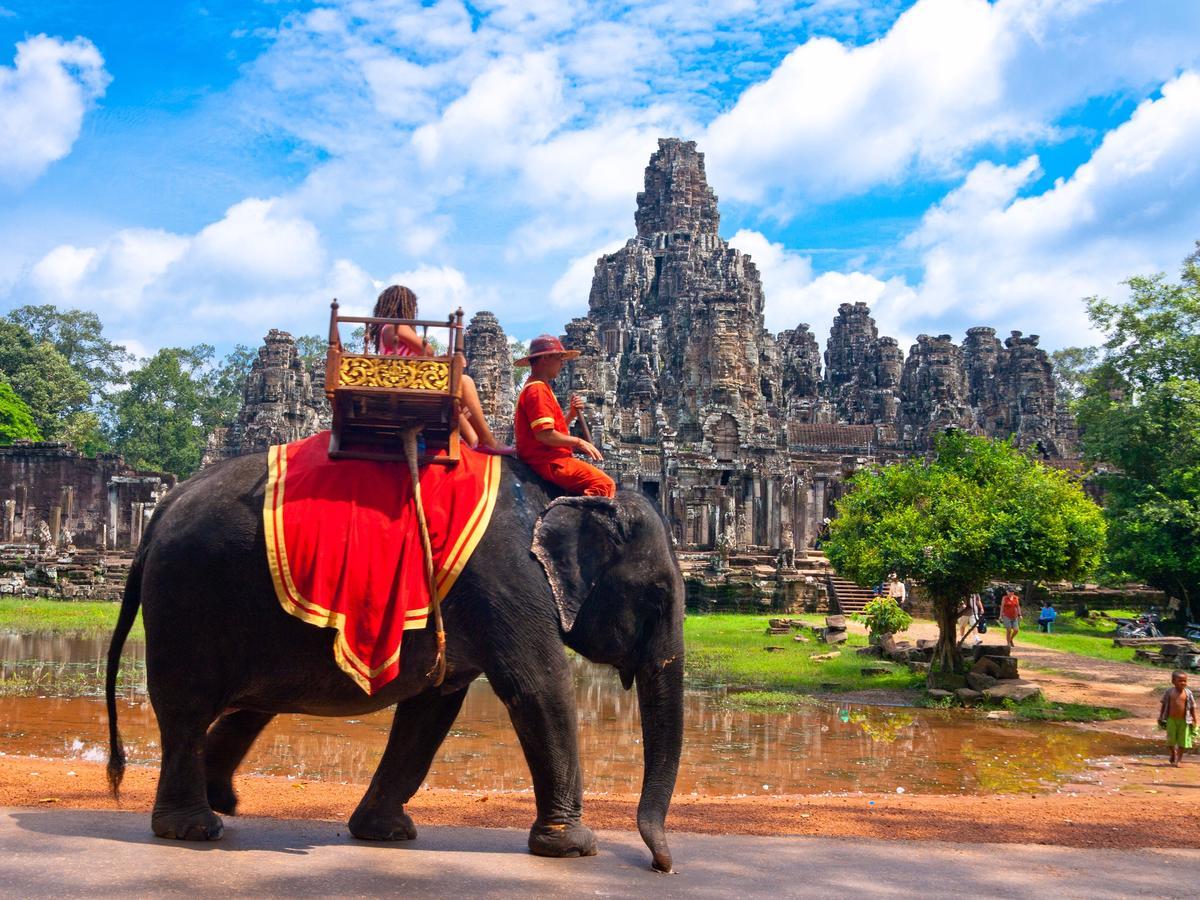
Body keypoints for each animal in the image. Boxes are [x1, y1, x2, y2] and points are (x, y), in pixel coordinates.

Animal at [105, 458, 686, 873]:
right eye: (657, 596)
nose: (662, 865)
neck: (564, 493)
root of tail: (163, 508)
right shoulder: (510, 579)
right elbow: (538, 686)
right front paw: (576, 847)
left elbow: (433, 706)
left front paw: (384, 833)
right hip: (187, 600)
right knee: (186, 709)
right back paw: (193, 828)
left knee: (246, 709)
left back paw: (223, 802)